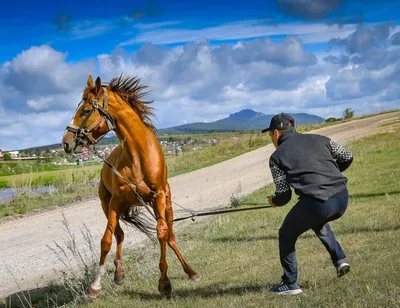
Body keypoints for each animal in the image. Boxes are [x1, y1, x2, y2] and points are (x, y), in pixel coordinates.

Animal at [62, 74, 198, 298]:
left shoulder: (158, 197)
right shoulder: (116, 202)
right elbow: (107, 240)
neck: (139, 157)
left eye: (87, 110)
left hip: (165, 205)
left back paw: (190, 271)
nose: (66, 142)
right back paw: (119, 273)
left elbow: (162, 234)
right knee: (120, 235)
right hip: (109, 205)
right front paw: (96, 286)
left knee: (170, 236)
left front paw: (164, 282)